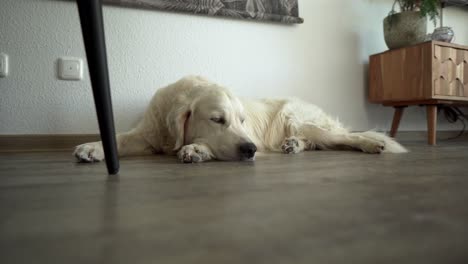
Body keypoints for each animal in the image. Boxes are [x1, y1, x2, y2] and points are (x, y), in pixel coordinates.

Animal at [73, 75, 406, 163]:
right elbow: (118, 138)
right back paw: (293, 145)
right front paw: (92, 147)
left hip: (298, 117)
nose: (251, 150)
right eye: (217, 119)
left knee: (344, 137)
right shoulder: (148, 134)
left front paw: (197, 149)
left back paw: (372, 144)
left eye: (242, 121)